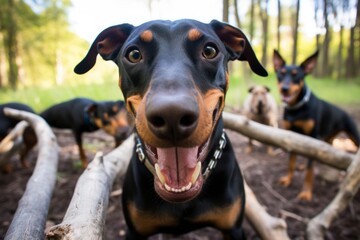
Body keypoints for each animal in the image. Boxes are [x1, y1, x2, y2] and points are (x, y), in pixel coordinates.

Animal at [274, 48, 358, 201]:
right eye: (281, 73)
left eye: (296, 75)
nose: (285, 88)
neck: (297, 109)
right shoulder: (292, 136)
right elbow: (291, 162)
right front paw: (288, 180)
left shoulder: (313, 137)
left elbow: (309, 170)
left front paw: (306, 193)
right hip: (327, 139)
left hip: (353, 136)